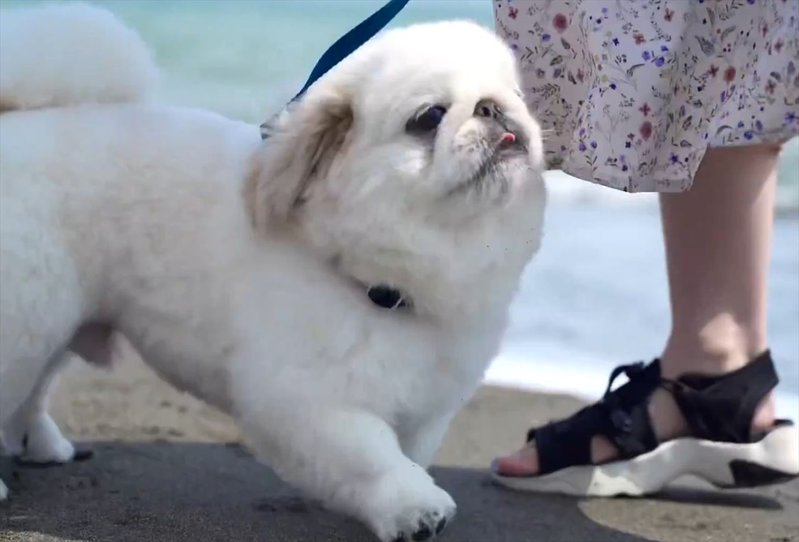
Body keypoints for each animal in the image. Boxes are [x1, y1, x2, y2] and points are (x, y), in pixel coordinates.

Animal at [0, 2, 548, 540]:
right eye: (429, 117)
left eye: (518, 94)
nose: (492, 107)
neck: (390, 286)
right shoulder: (310, 402)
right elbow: (374, 458)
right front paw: (416, 509)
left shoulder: (427, 409)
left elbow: (410, 453)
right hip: (28, 320)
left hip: (54, 323)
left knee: (31, 393)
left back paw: (42, 446)